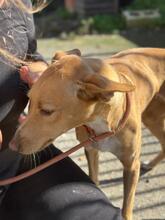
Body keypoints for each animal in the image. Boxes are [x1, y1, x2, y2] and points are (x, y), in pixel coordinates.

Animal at [12, 48, 165, 220]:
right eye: (29, 100)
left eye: (47, 111)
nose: (11, 145)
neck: (102, 125)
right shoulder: (91, 150)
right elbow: (94, 179)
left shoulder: (132, 165)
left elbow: (127, 207)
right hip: (152, 117)